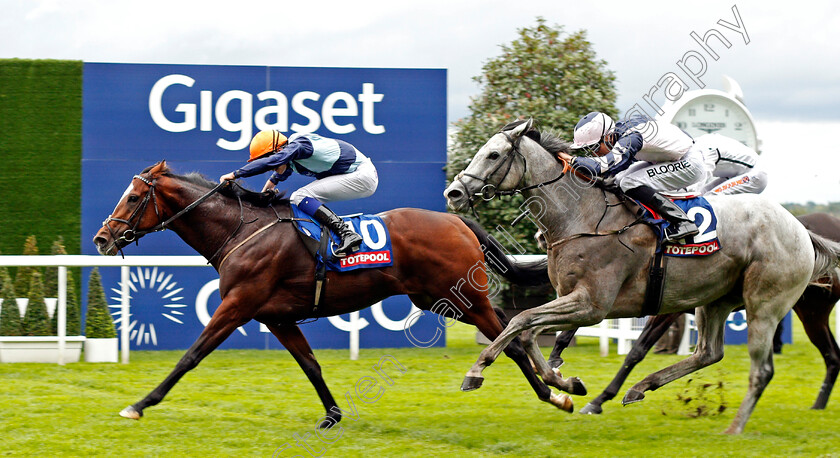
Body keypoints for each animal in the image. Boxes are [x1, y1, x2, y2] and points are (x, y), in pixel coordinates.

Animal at [93, 160, 576, 426]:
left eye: (133, 197)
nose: (102, 238)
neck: (241, 230)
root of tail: (455, 220)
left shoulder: (237, 305)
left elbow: (190, 357)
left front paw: (139, 404)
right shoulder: (276, 316)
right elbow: (311, 366)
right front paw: (332, 415)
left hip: (461, 298)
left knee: (511, 341)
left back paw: (554, 393)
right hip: (439, 299)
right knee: (512, 334)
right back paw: (557, 388)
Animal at [540, 211, 840, 416]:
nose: (540, 237)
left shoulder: (666, 305)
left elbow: (637, 350)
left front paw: (598, 399)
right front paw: (556, 359)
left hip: (807, 309)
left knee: (829, 354)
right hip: (808, 310)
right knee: (832, 355)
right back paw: (818, 404)